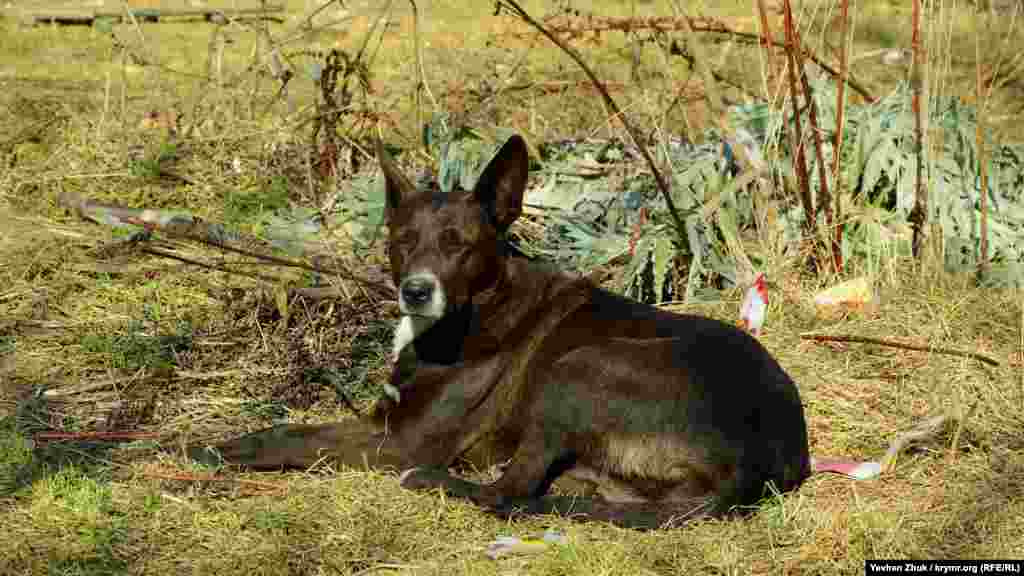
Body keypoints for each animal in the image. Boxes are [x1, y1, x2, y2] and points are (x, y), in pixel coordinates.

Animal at [192, 132, 811, 528]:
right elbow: (288, 428)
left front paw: (203, 450)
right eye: (401, 242)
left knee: (506, 496)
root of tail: (760, 459)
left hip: (580, 366)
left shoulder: (400, 440)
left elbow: (295, 437)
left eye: (458, 246)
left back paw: (439, 482)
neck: (474, 310)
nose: (415, 290)